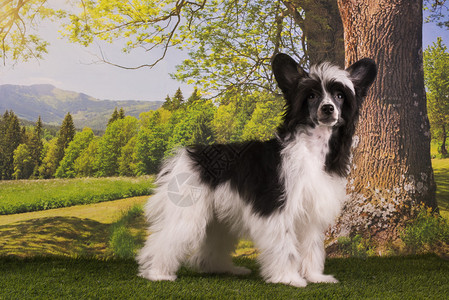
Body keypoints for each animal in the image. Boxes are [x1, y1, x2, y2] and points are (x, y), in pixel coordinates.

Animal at [136, 52, 374, 288]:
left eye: (340, 96)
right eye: (312, 96)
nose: (328, 108)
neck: (311, 148)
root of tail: (187, 154)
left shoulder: (310, 216)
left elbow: (311, 248)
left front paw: (314, 276)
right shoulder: (278, 209)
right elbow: (285, 247)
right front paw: (288, 278)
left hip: (219, 217)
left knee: (210, 247)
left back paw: (222, 268)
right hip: (188, 213)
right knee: (165, 240)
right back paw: (157, 273)